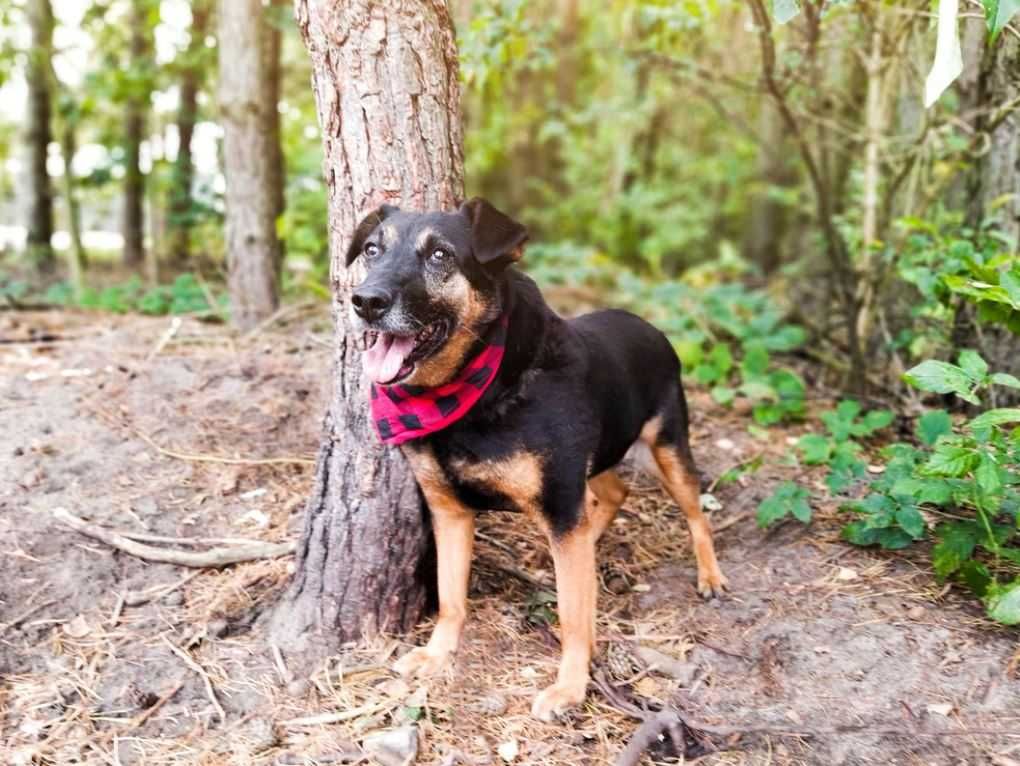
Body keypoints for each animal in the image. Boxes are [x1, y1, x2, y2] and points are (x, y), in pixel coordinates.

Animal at [348, 195, 726, 718]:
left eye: (441, 255)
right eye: (371, 249)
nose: (366, 301)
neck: (472, 392)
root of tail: (648, 325)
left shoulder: (560, 502)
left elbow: (572, 616)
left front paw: (570, 687)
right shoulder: (450, 512)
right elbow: (450, 597)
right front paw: (437, 653)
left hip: (667, 447)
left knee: (694, 511)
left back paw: (710, 575)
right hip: (597, 455)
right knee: (613, 494)